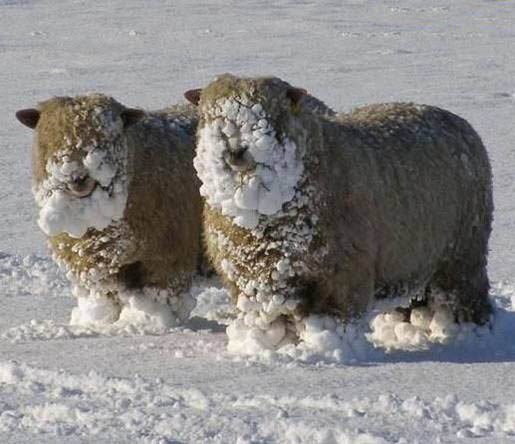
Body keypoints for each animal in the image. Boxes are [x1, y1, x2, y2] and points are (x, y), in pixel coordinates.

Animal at [16, 93, 203, 328]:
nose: (77, 177)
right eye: (51, 137)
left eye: (105, 139)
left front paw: (151, 322)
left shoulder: (167, 259)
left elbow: (160, 296)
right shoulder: (95, 269)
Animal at [185, 73, 496, 350]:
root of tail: (459, 122)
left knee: (466, 298)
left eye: (271, 118)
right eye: (211, 117)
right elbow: (267, 321)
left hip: (462, 257)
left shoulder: (341, 277)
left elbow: (335, 321)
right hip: (410, 260)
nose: (235, 151)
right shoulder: (253, 281)